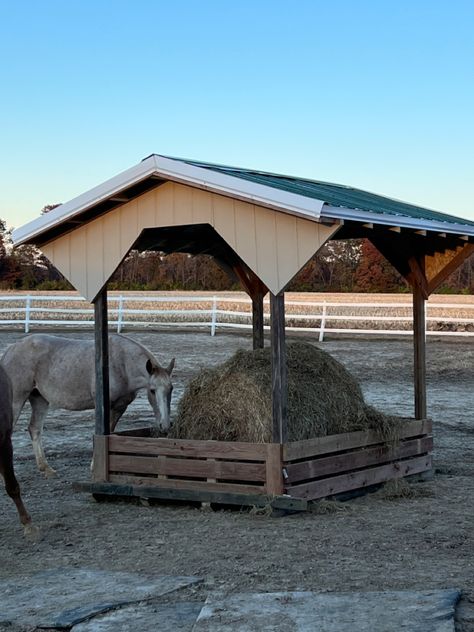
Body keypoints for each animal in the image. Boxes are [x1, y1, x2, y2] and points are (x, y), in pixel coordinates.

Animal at [2, 334, 174, 476]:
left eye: (171, 389)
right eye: (152, 391)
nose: (165, 425)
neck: (121, 363)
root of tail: (11, 349)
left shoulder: (119, 408)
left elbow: (110, 432)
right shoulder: (103, 408)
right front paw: (95, 466)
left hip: (40, 399)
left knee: (35, 429)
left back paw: (46, 468)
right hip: (16, 400)